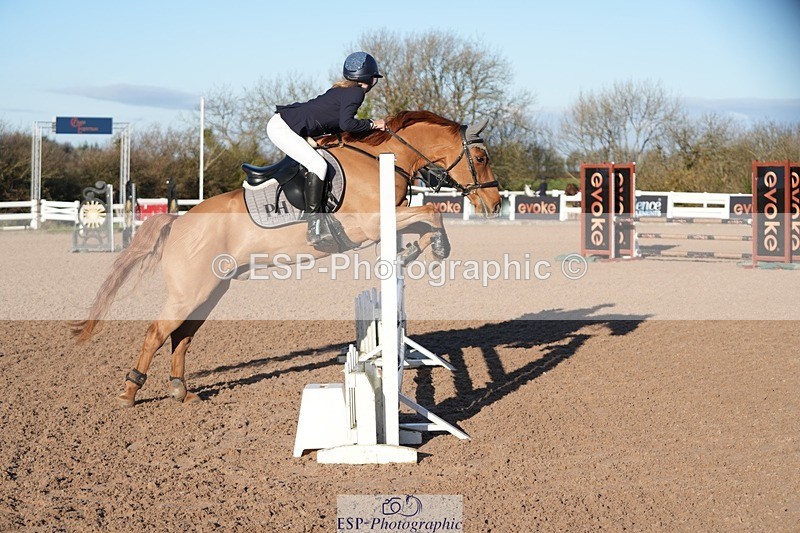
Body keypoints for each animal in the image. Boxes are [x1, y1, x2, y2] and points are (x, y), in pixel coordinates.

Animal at [71, 110, 502, 407]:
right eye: (481, 158)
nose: (495, 204)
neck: (385, 158)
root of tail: (178, 222)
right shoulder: (371, 223)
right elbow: (432, 212)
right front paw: (433, 248)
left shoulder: (388, 221)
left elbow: (425, 220)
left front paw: (421, 249)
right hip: (189, 292)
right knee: (157, 333)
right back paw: (129, 393)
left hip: (210, 291)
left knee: (182, 337)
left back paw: (182, 391)